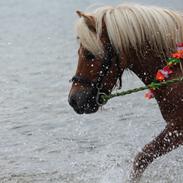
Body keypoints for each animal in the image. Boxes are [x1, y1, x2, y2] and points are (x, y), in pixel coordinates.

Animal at [68, 3, 183, 182]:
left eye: (89, 54)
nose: (73, 100)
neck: (176, 70)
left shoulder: (176, 128)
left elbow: (142, 157)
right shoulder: (175, 129)